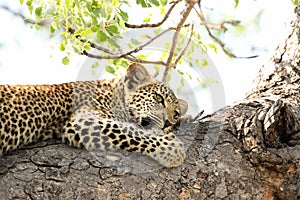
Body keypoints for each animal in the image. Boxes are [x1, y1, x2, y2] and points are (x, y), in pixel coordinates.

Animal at [0, 62, 188, 167]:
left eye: (176, 114)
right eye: (159, 98)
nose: (168, 122)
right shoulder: (84, 120)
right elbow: (132, 131)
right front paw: (173, 149)